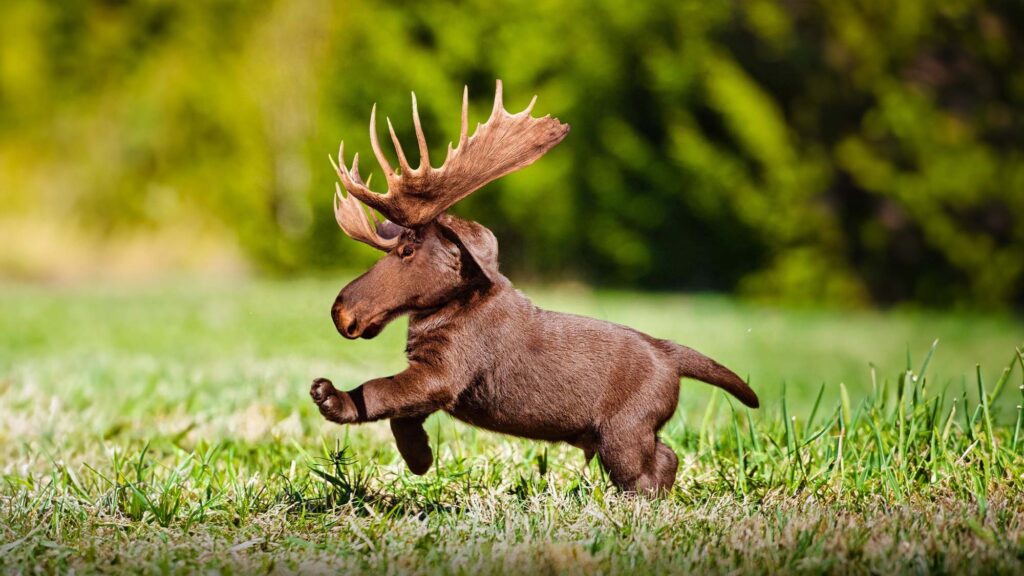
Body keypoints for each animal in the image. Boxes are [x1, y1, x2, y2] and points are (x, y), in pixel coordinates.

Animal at [310, 81, 759, 493]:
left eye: (406, 250)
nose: (341, 311)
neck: (458, 304)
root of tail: (670, 354)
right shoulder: (430, 381)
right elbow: (402, 415)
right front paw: (420, 459)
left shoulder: (444, 374)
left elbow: (381, 391)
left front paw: (331, 397)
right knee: (667, 458)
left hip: (623, 433)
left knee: (645, 477)